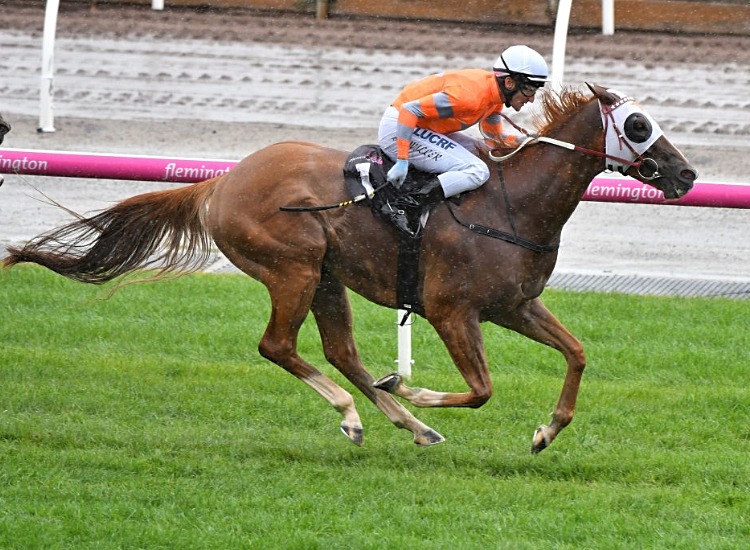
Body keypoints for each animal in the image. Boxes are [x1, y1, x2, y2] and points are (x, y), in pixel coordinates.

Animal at [4, 85, 700, 452]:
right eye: (638, 123)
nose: (687, 173)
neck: (513, 202)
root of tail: (221, 183)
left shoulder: (514, 305)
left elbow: (577, 353)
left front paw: (545, 432)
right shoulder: (452, 310)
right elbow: (480, 389)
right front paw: (416, 388)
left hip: (327, 276)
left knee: (340, 351)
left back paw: (408, 424)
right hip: (293, 267)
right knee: (279, 346)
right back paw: (361, 412)